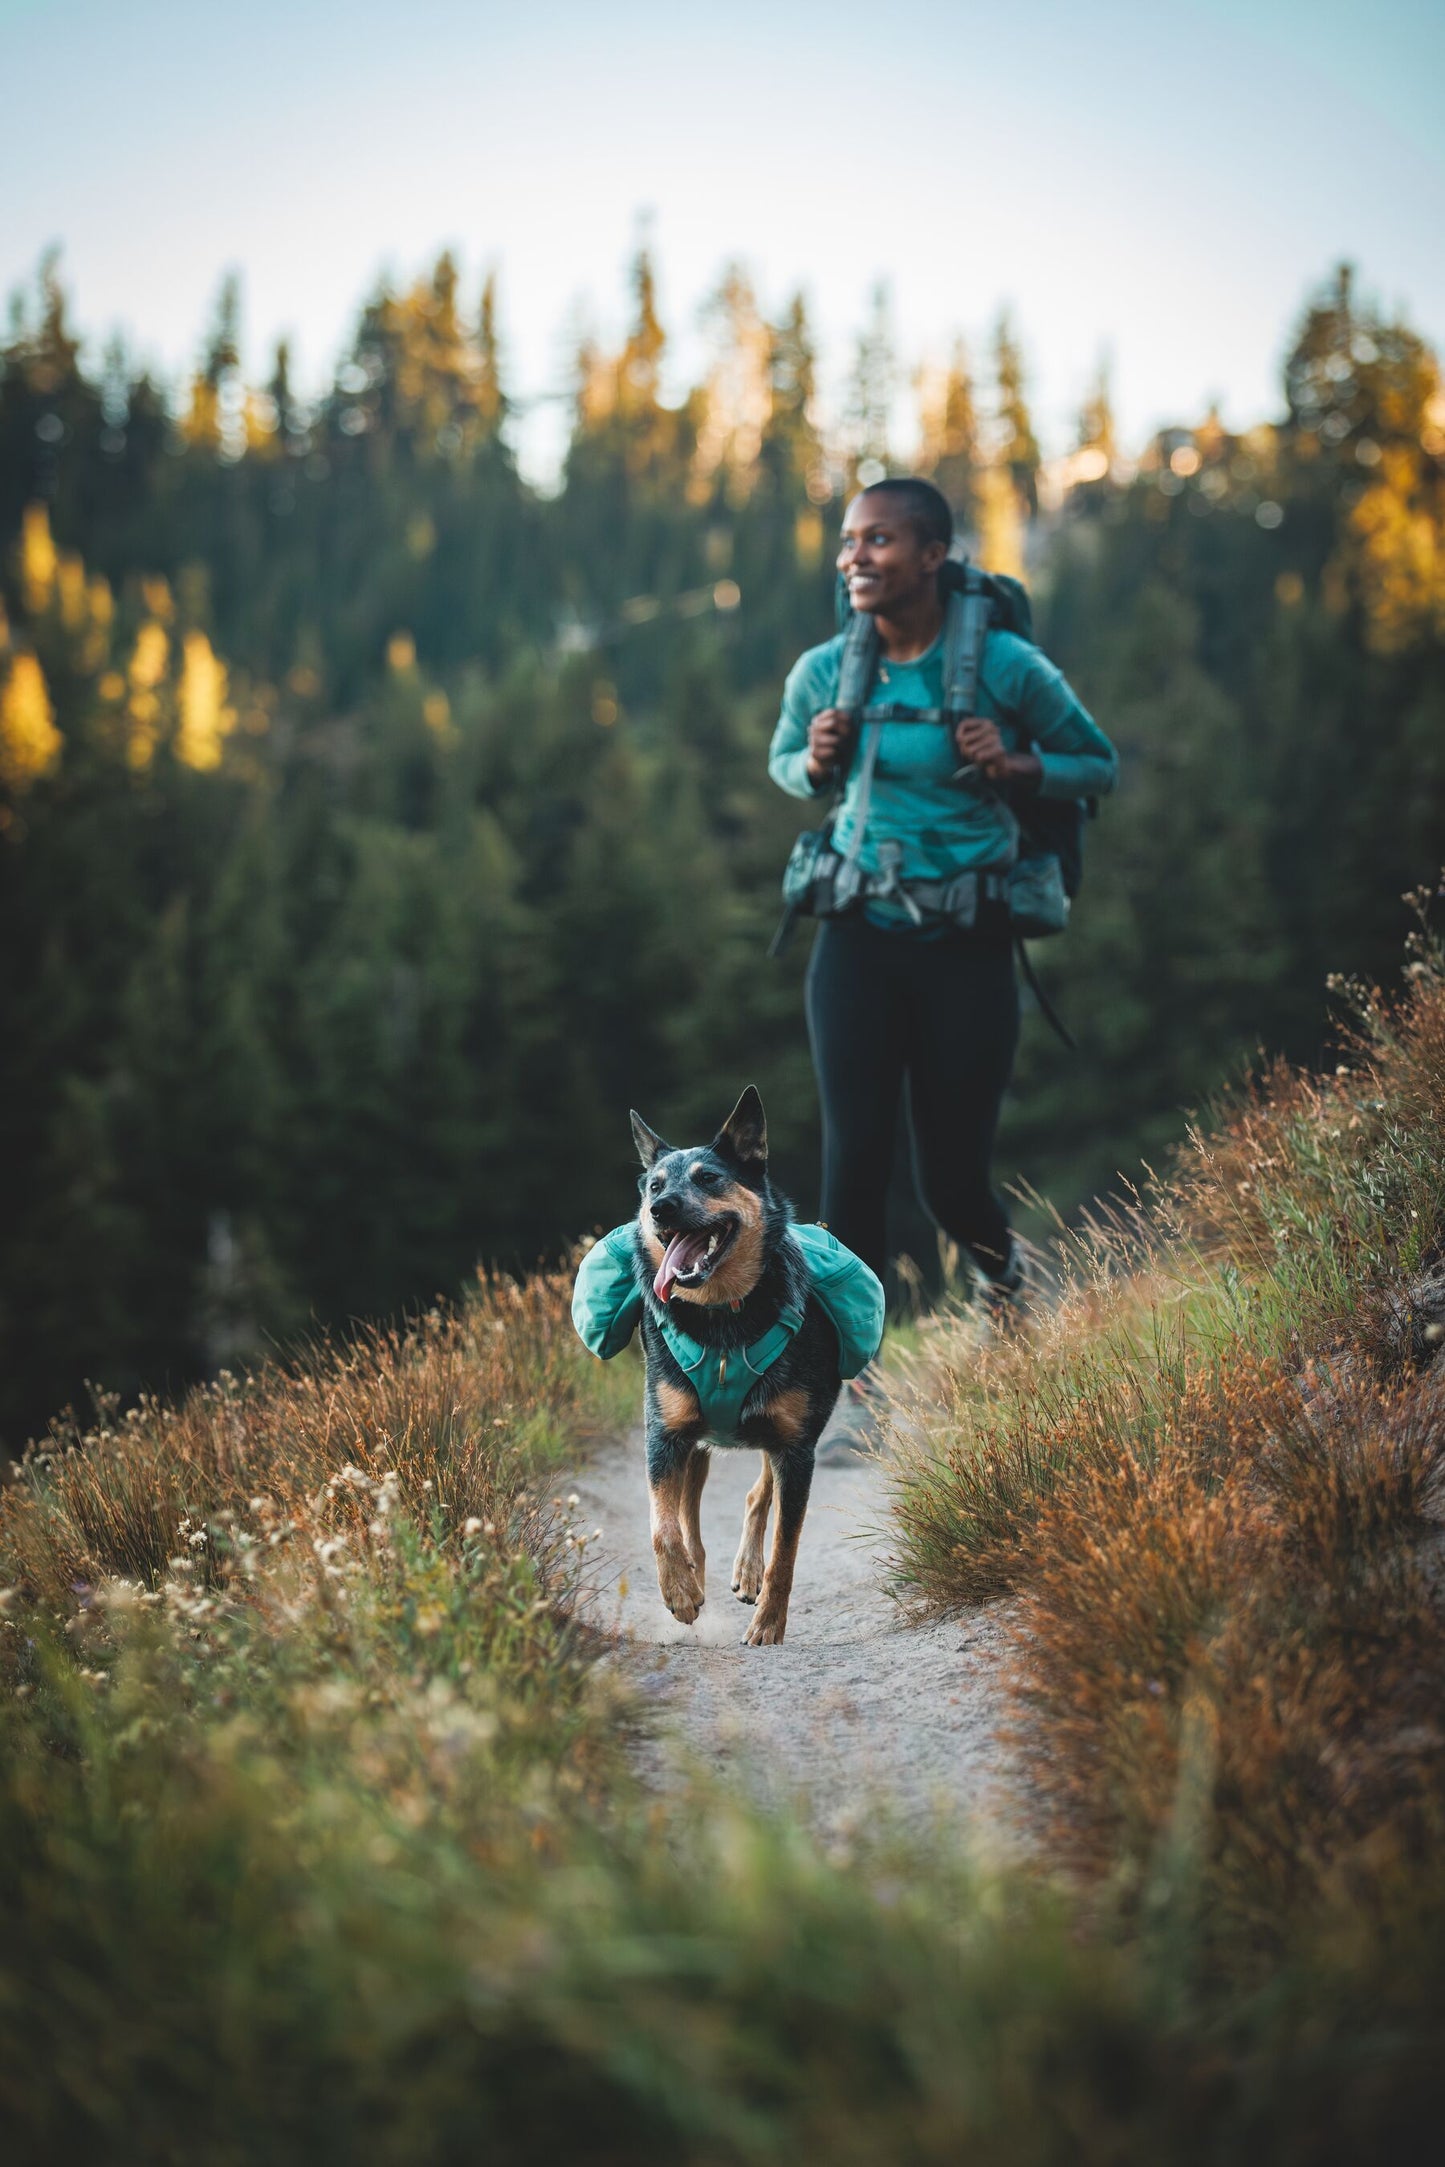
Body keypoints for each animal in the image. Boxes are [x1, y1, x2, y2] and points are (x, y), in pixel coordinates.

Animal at [628, 1083, 840, 1638]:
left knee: (759, 1494)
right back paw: (695, 1577)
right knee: (690, 1518)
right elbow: (663, 1527)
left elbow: (785, 1548)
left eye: (709, 1178)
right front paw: (679, 1591)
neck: (723, 1316)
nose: (661, 1208)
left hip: (787, 1435)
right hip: (696, 1443)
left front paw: (768, 1622)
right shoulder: (665, 1434)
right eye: (653, 1186)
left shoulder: (797, 1448)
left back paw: (747, 1572)